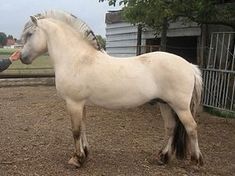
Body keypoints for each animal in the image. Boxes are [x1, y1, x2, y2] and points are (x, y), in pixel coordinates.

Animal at [19, 10, 204, 167]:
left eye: (30, 34)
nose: (22, 58)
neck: (78, 59)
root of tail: (190, 66)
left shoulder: (74, 103)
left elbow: (76, 131)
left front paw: (77, 159)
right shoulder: (81, 104)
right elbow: (83, 128)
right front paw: (85, 154)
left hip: (180, 107)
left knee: (192, 128)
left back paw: (196, 160)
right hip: (164, 104)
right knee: (170, 127)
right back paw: (163, 157)